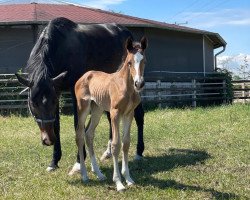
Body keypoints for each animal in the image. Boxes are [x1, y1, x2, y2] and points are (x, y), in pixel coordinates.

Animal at [74, 36, 148, 191]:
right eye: (129, 62)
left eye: (144, 61)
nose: (139, 83)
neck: (126, 87)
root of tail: (84, 76)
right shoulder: (115, 113)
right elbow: (115, 145)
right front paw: (118, 182)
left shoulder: (128, 114)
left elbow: (126, 143)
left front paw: (128, 179)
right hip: (83, 108)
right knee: (79, 135)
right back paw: (84, 175)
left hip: (97, 109)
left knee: (89, 134)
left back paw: (99, 173)